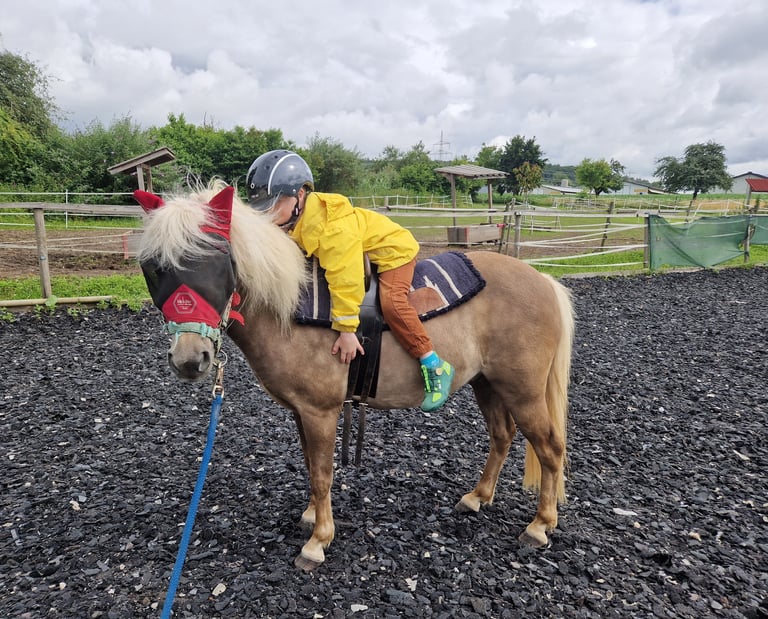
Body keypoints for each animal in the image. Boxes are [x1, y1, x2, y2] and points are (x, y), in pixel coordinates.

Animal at [133, 181, 575, 571]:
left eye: (217, 263)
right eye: (153, 269)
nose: (190, 359)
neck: (291, 309)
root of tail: (543, 280)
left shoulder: (321, 411)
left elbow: (323, 474)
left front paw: (318, 541)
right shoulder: (302, 412)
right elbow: (311, 466)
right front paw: (312, 516)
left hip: (523, 390)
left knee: (550, 448)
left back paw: (540, 525)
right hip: (489, 384)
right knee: (502, 436)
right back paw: (478, 497)